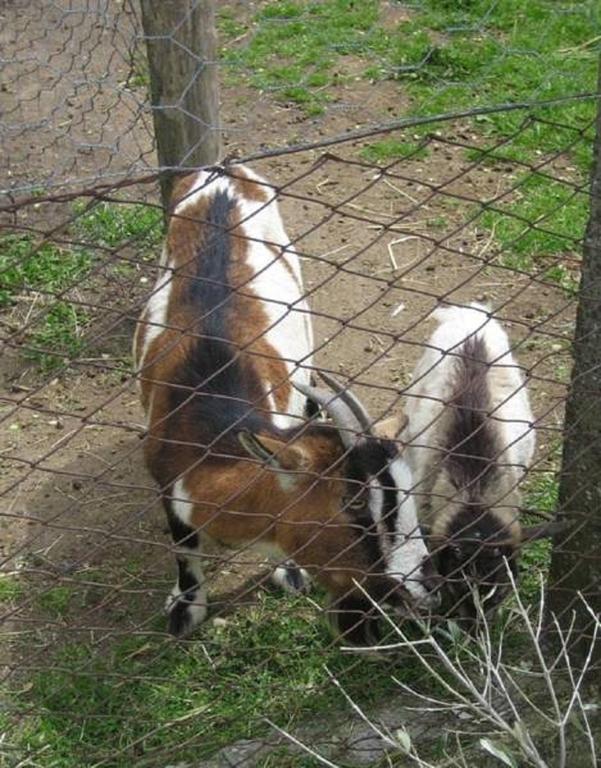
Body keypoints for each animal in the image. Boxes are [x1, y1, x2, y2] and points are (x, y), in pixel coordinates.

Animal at [134, 166, 438, 640]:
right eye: (354, 505)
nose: (426, 586)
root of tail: (224, 171)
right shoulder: (166, 480)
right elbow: (184, 548)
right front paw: (185, 609)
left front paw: (291, 572)